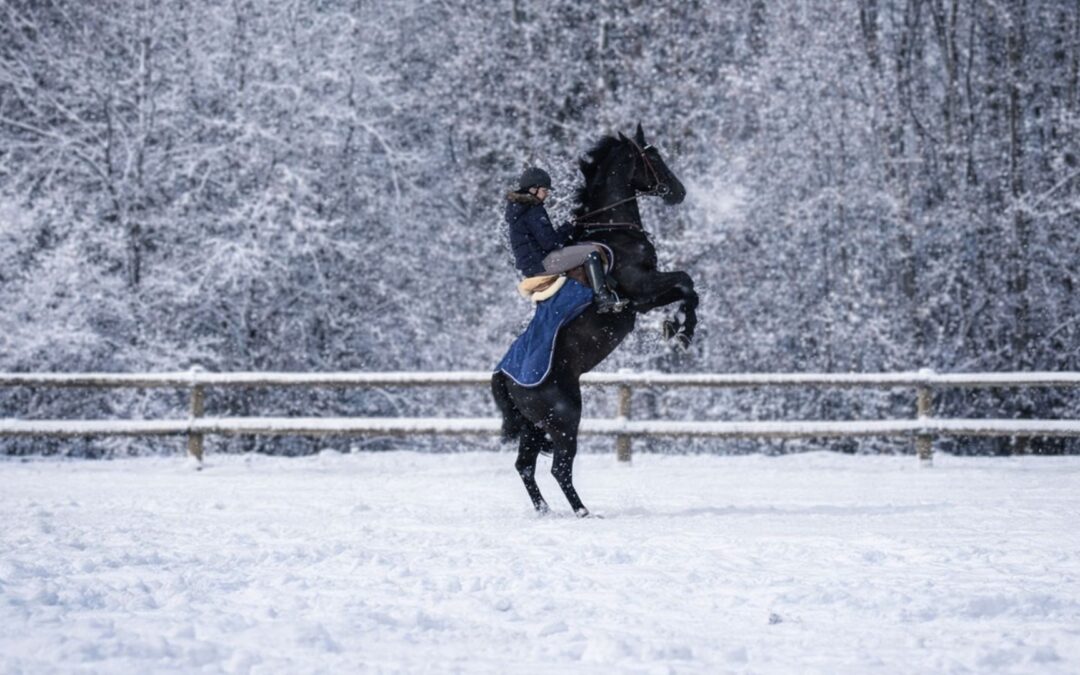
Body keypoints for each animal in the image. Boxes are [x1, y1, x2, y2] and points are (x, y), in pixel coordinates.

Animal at [491, 123, 698, 517]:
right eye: (653, 157)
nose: (678, 192)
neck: (612, 230)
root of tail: (503, 376)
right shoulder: (643, 291)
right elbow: (687, 284)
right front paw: (681, 331)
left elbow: (687, 284)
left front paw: (675, 328)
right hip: (565, 417)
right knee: (558, 467)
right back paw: (584, 513)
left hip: (535, 426)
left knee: (525, 466)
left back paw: (545, 512)